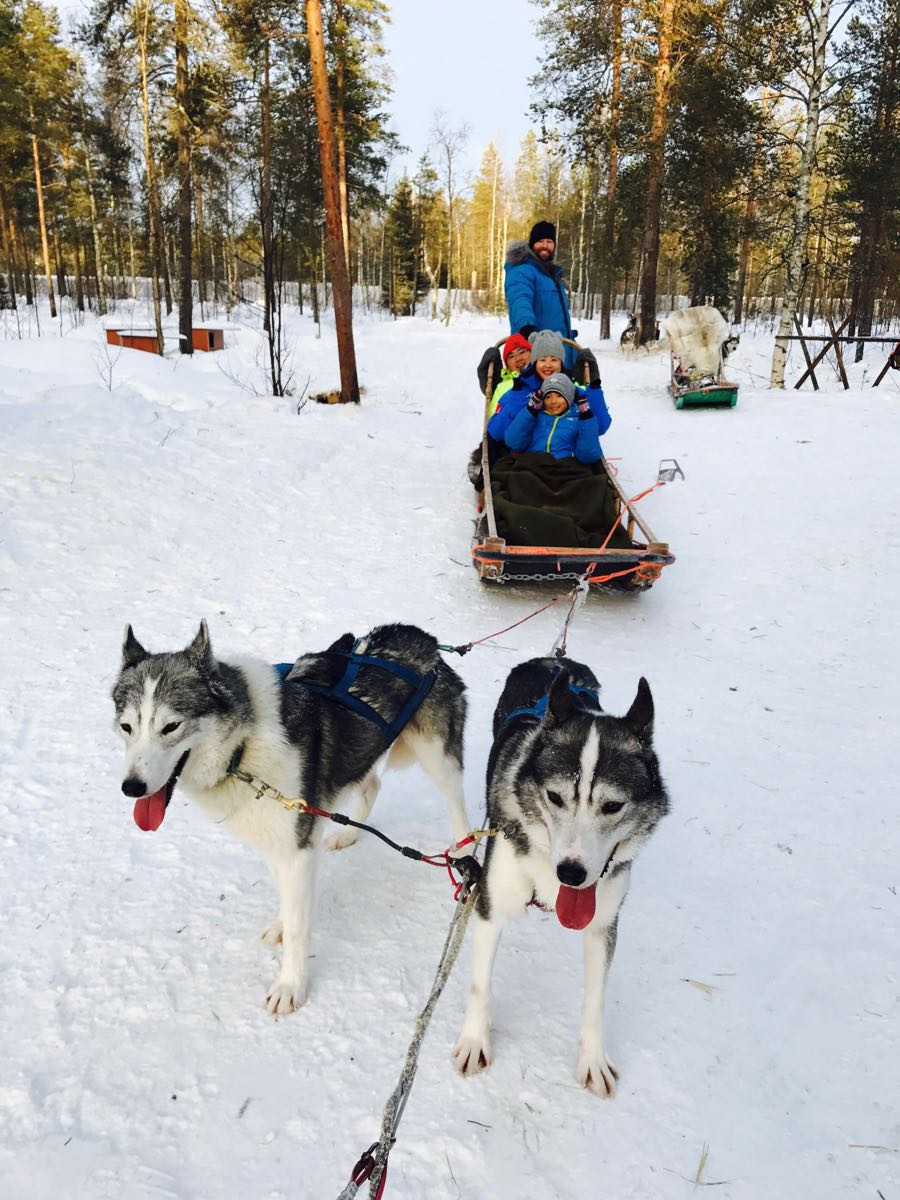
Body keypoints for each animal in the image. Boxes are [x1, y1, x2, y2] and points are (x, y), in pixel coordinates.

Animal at [112, 624, 472, 1017]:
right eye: (126, 727)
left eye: (171, 726)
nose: (131, 787)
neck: (243, 750)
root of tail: (422, 637)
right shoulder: (276, 837)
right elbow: (286, 895)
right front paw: (281, 923)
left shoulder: (297, 846)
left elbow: (300, 929)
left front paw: (290, 985)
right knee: (371, 785)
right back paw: (347, 834)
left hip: (438, 757)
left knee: (457, 801)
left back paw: (467, 852)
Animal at [451, 657, 672, 1099]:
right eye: (554, 797)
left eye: (612, 805)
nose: (571, 872)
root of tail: (556, 660)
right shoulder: (490, 906)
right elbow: (479, 984)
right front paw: (474, 1040)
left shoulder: (602, 924)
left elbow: (596, 999)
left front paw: (593, 1059)